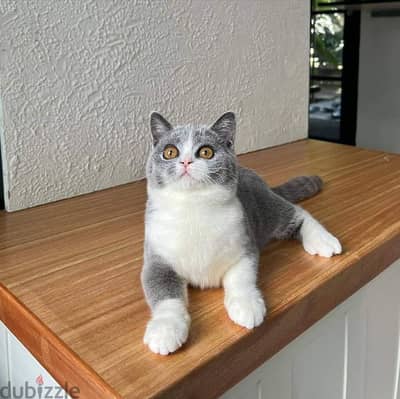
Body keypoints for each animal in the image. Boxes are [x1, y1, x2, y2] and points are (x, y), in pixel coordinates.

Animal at [141, 111, 340, 356]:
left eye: (206, 152)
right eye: (170, 152)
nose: (186, 162)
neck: (193, 208)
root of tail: (261, 181)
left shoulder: (243, 241)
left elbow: (241, 277)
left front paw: (246, 306)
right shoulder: (157, 257)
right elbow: (163, 294)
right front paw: (165, 330)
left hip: (263, 209)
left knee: (296, 213)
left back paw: (322, 240)